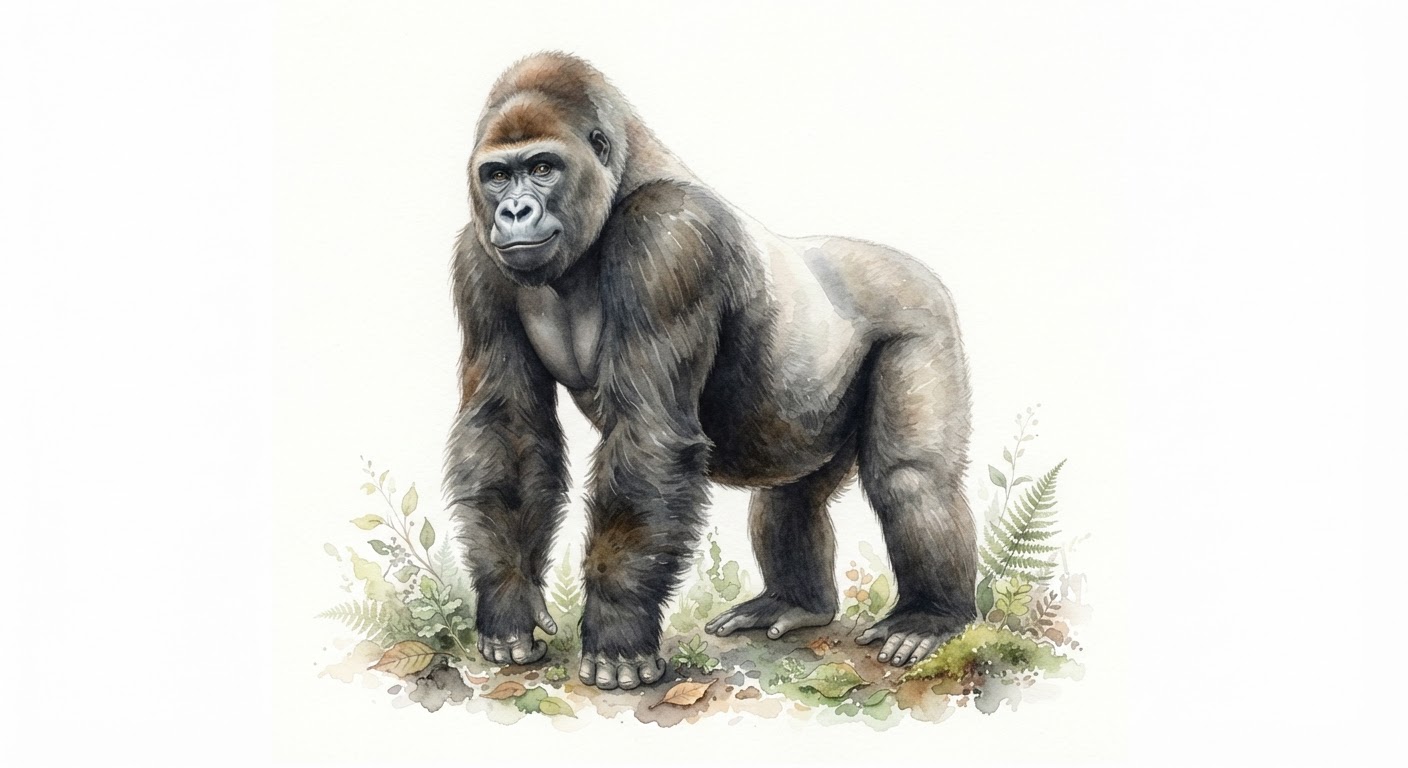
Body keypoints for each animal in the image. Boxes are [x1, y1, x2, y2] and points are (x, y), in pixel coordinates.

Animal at [445, 52, 976, 690]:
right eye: (497, 175)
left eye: (543, 168)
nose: (514, 210)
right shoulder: (477, 258)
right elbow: (508, 429)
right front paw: (508, 603)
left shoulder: (670, 239)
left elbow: (650, 434)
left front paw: (619, 631)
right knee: (790, 497)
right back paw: (796, 603)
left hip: (922, 310)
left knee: (911, 479)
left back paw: (932, 617)